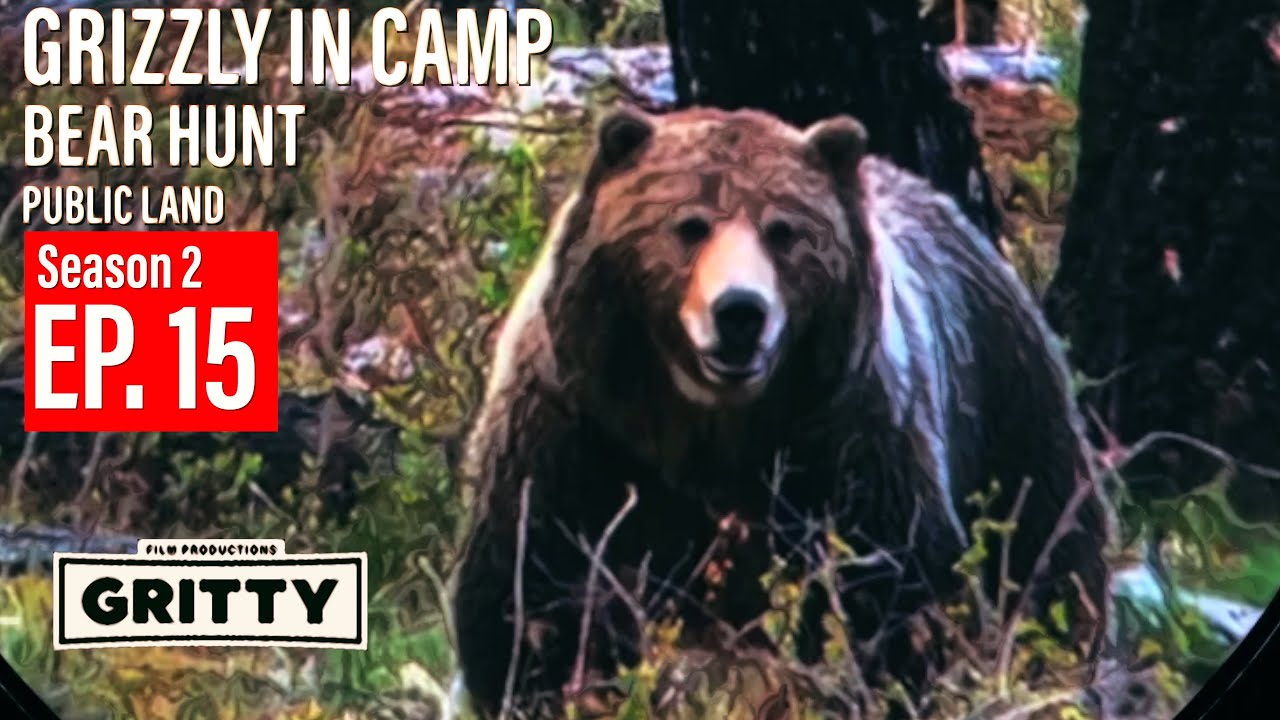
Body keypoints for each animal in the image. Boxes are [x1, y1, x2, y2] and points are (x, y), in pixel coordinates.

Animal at [451, 106, 1112, 719]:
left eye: (783, 230)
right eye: (690, 225)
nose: (740, 311)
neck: (708, 430)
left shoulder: (848, 441)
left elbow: (893, 587)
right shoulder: (577, 435)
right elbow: (532, 592)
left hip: (1008, 405)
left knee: (1046, 555)